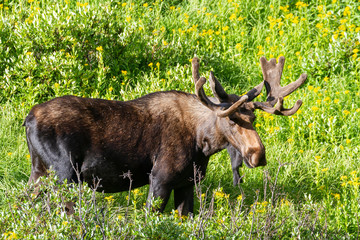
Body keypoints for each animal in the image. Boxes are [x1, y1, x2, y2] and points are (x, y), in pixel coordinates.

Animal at [24, 56, 306, 216]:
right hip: (64, 174)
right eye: (231, 120)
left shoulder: (187, 183)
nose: (258, 155)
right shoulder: (160, 179)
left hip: (39, 171)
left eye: (254, 119)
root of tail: (28, 119)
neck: (202, 145)